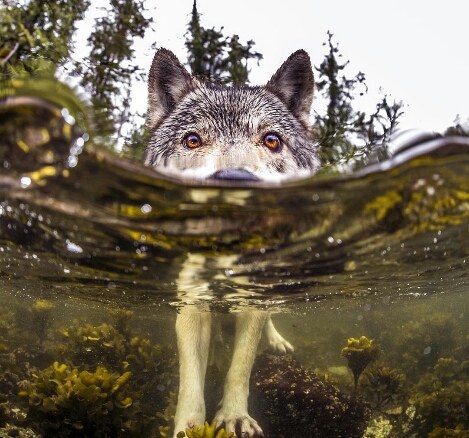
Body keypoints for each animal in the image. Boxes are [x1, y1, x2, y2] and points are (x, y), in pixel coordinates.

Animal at [144, 47, 318, 434]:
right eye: (193, 140)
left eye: (272, 140)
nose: (235, 181)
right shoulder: (192, 303)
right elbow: (190, 380)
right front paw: (188, 428)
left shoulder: (252, 301)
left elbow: (241, 367)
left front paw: (235, 417)